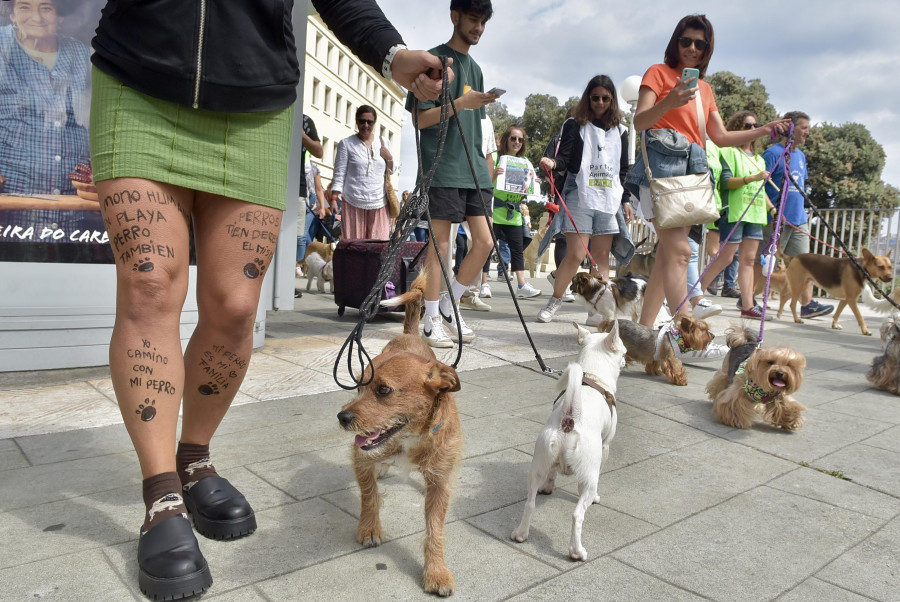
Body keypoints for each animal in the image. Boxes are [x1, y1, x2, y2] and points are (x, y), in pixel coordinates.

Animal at [338, 274, 464, 596]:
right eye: (358, 386)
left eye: (383, 390)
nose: (342, 418)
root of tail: (409, 335)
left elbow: (435, 529)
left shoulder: (440, 480)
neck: (410, 437)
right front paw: (369, 528)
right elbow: (369, 494)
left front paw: (436, 572)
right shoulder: (360, 456)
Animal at [512, 318, 624, 556]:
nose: (627, 359)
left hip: (539, 463)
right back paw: (576, 551)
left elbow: (552, 474)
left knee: (530, 503)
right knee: (577, 514)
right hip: (588, 478)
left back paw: (521, 534)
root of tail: (570, 418)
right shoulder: (605, 446)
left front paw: (548, 487)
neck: (591, 375)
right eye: (624, 350)